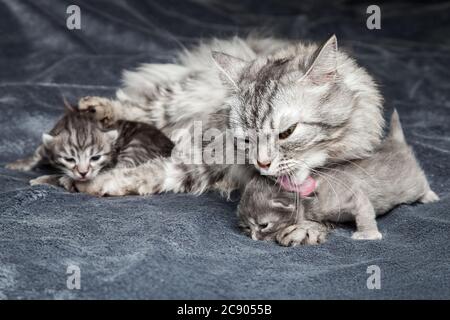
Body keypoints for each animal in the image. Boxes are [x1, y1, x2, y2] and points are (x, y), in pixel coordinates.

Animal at [6, 97, 174, 190]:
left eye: (95, 158)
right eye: (70, 159)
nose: (83, 173)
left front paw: (46, 179)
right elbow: (38, 152)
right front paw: (19, 164)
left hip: (136, 147)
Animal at [239, 110, 440, 245]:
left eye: (263, 225)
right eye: (246, 227)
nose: (254, 238)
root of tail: (395, 143)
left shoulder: (352, 194)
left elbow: (364, 210)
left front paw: (368, 234)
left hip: (412, 184)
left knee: (421, 185)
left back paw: (429, 196)